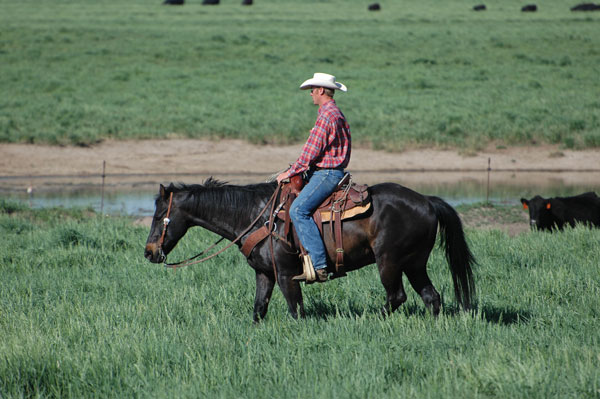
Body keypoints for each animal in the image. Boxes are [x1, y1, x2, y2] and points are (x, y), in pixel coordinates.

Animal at [143, 179, 476, 322]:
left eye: (159, 216)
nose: (148, 252)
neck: (257, 215)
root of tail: (427, 200)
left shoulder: (287, 275)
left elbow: (296, 311)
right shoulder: (265, 274)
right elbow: (259, 309)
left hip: (390, 262)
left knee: (396, 296)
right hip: (414, 263)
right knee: (431, 297)